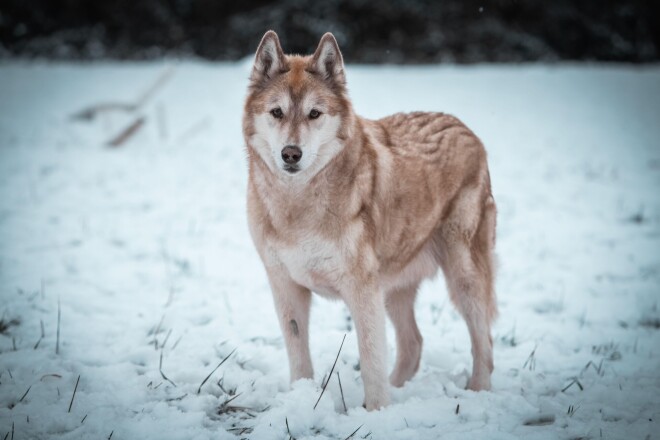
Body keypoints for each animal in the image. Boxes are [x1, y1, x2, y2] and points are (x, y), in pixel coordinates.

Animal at [242, 31, 496, 412]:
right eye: (277, 112)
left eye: (314, 114)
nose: (291, 154)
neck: (298, 206)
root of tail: (466, 129)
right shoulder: (286, 287)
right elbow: (300, 358)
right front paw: (303, 399)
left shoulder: (362, 291)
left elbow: (371, 360)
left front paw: (376, 413)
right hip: (394, 290)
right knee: (414, 344)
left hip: (462, 277)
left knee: (485, 343)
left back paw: (478, 394)